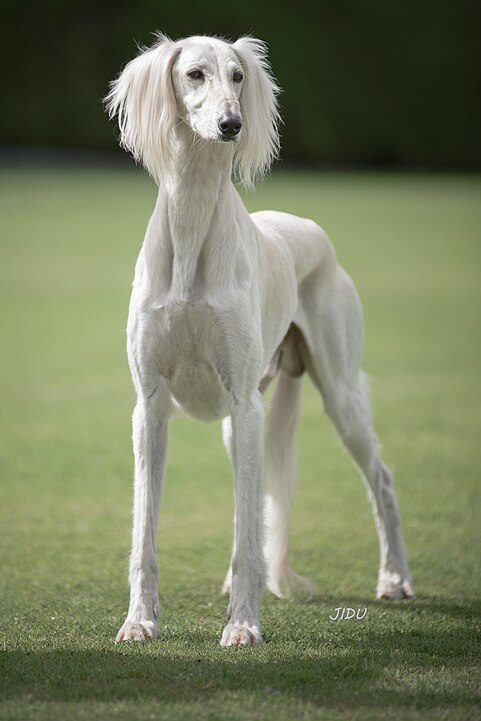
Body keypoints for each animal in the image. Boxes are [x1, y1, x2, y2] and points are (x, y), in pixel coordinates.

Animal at [105, 32, 412, 648]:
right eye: (194, 74)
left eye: (239, 75)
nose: (231, 125)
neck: (193, 226)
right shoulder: (149, 408)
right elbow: (145, 532)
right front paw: (140, 621)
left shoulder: (245, 402)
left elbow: (248, 528)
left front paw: (243, 626)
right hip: (238, 421)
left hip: (334, 394)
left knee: (380, 480)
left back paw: (394, 579)